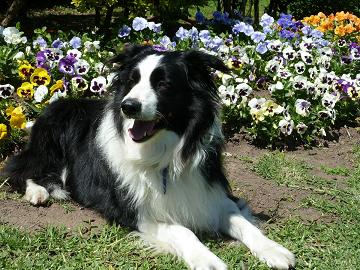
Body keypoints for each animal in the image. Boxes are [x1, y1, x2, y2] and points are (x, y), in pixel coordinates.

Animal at [5, 45, 296, 268]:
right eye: (132, 81)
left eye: (163, 84)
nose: (128, 106)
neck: (165, 154)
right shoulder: (136, 210)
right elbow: (183, 230)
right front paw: (208, 260)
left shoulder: (210, 193)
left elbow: (242, 222)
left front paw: (273, 250)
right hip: (51, 140)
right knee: (18, 168)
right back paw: (37, 192)